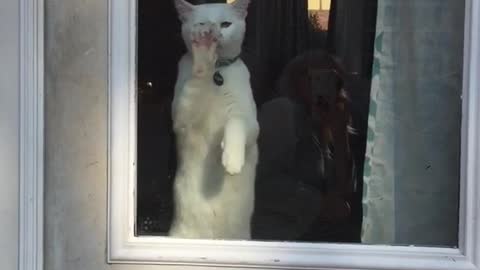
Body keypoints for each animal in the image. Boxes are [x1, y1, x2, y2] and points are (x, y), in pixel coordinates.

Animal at [169, 0, 258, 240]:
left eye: (225, 24)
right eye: (201, 24)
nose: (212, 33)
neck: (216, 74)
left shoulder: (250, 121)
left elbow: (235, 123)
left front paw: (232, 159)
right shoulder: (182, 121)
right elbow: (194, 85)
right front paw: (202, 55)